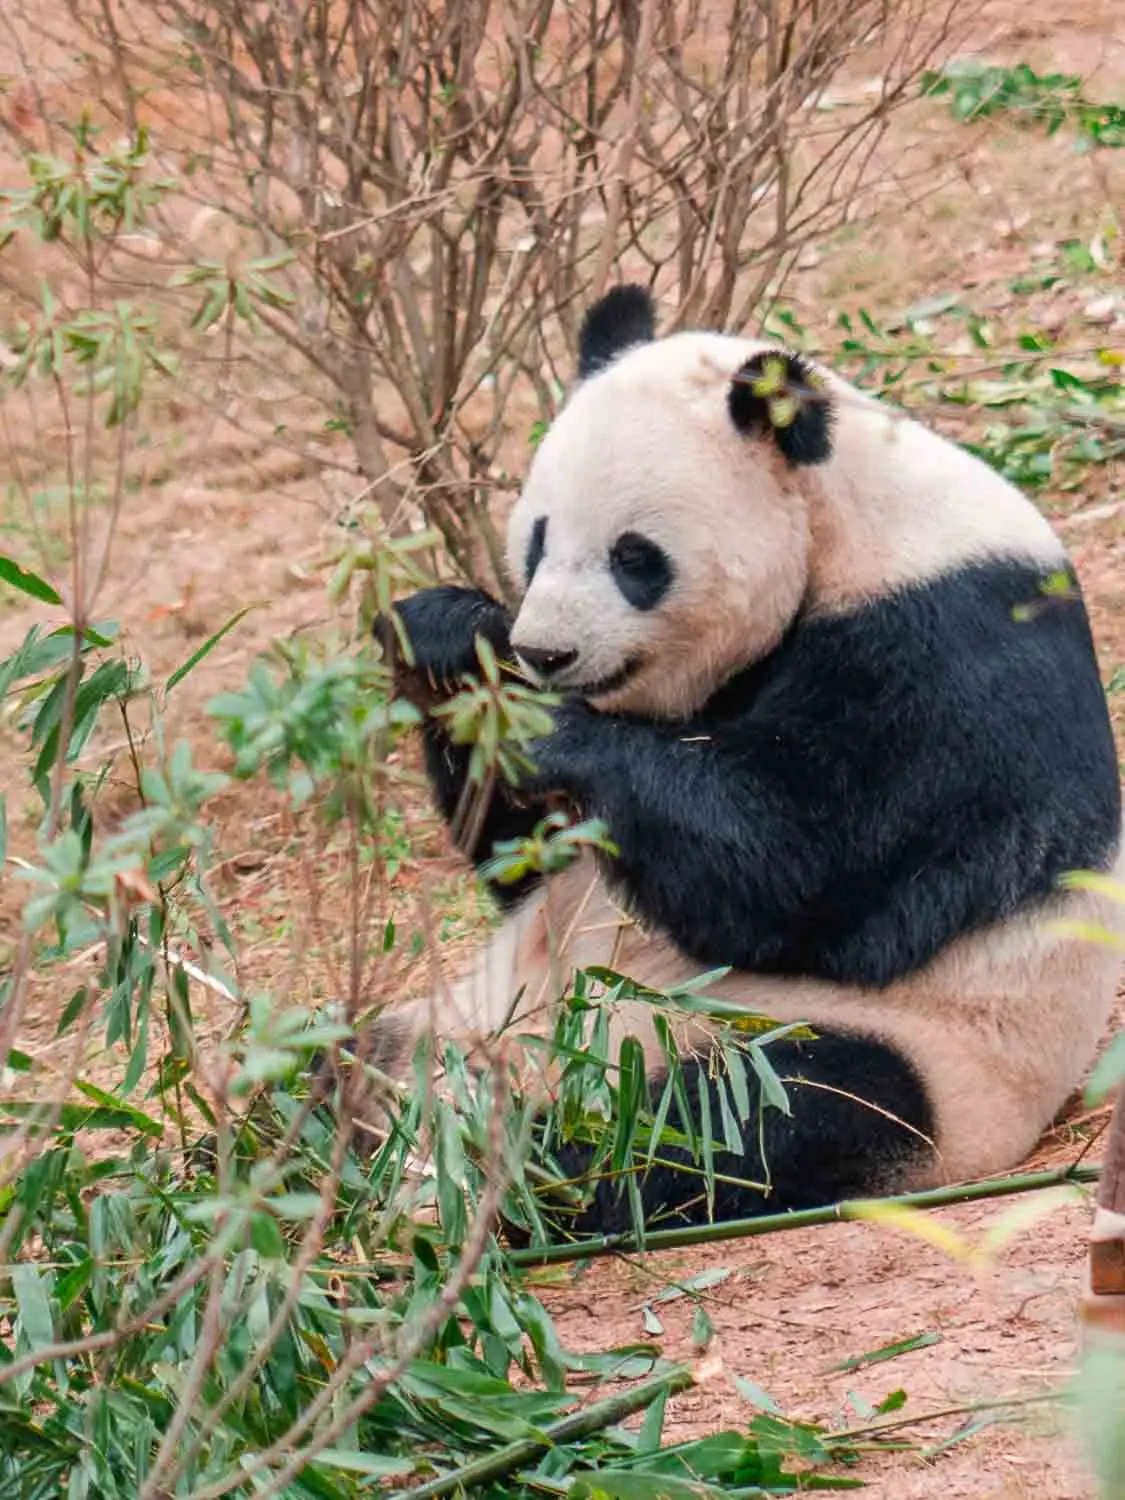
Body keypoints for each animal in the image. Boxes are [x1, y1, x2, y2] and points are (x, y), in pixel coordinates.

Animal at [372, 283, 1125, 1234]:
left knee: (750, 1118)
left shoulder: (945, 658)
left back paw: (522, 1168)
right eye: (537, 540)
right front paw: (442, 637)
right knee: (338, 1062)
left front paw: (538, 714)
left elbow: (793, 873)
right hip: (460, 1013)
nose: (545, 653)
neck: (844, 518)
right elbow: (527, 855)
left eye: (633, 558)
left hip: (905, 1049)